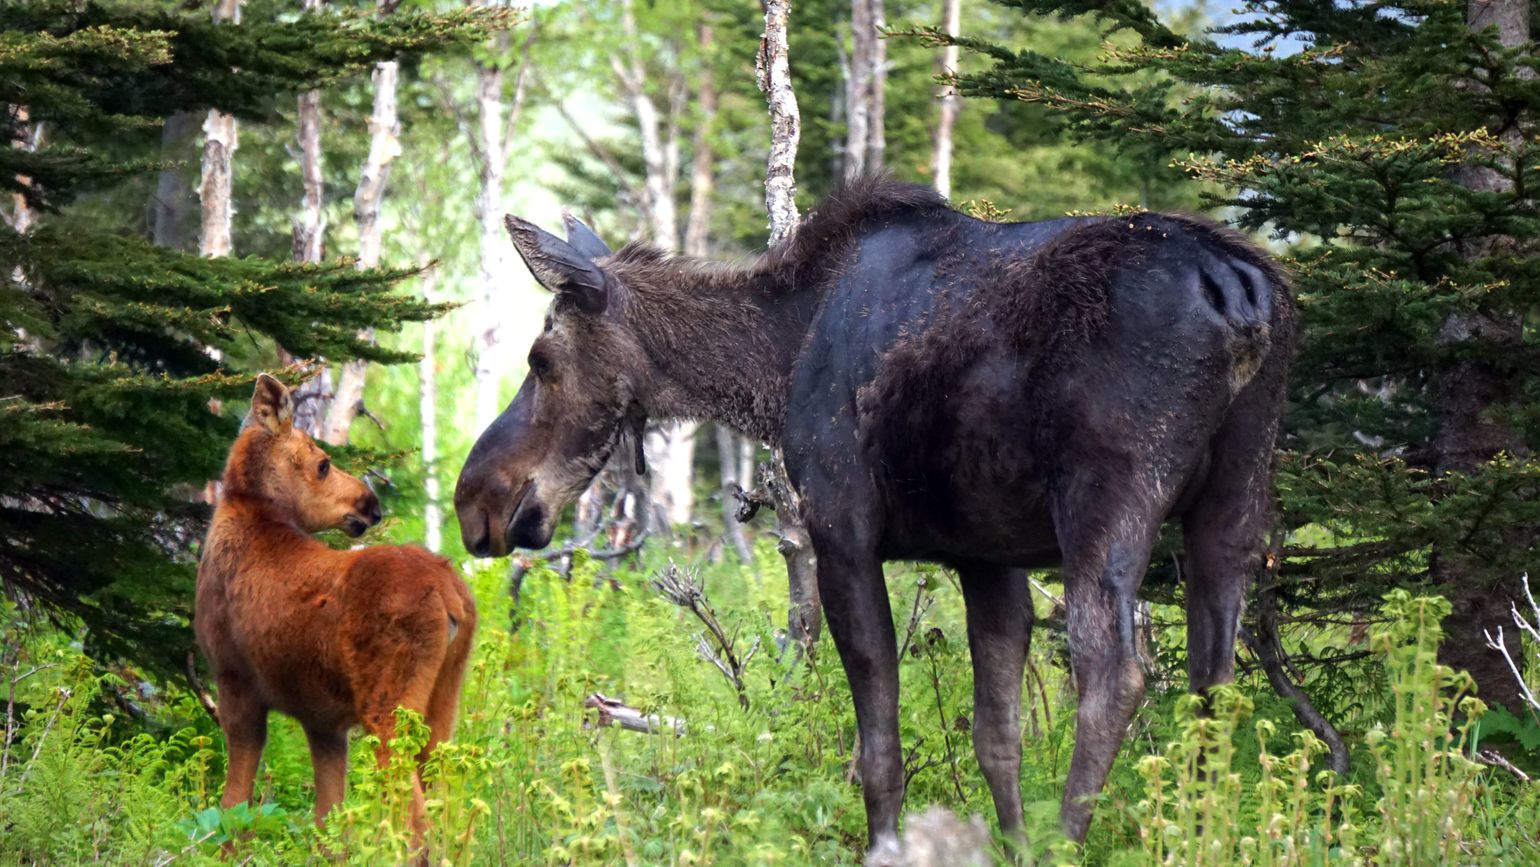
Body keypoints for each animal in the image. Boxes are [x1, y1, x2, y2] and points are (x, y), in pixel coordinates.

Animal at [195, 373, 476, 852]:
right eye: (324, 464)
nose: (371, 504)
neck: (249, 512)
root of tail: (451, 596)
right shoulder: (323, 721)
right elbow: (329, 820)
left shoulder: (235, 680)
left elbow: (234, 806)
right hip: (444, 701)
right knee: (447, 805)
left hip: (387, 704)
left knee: (414, 813)